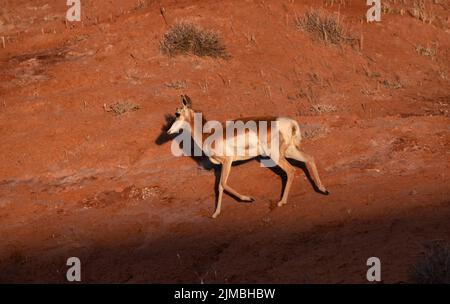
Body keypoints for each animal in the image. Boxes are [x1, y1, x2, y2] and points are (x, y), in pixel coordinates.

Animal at [167, 95, 328, 218]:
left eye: (178, 114)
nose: (169, 131)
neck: (208, 135)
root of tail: (290, 123)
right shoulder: (220, 166)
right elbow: (219, 187)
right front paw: (216, 213)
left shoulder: (227, 162)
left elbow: (223, 184)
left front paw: (248, 198)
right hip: (289, 151)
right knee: (309, 158)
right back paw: (323, 190)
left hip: (276, 155)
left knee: (291, 170)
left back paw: (282, 202)